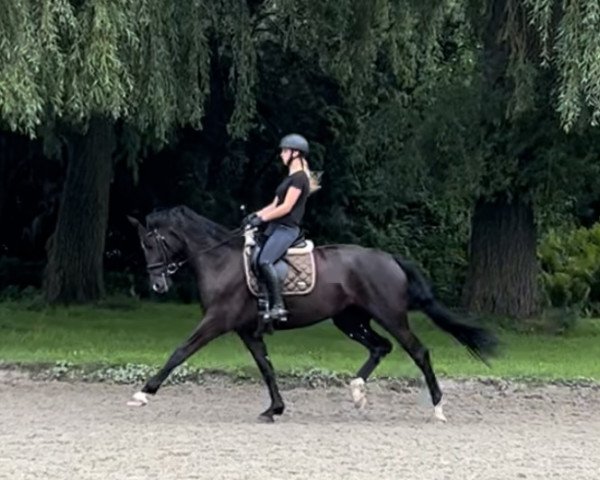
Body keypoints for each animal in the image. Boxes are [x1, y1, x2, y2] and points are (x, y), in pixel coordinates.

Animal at [126, 204, 496, 422]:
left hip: (390, 316)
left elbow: (180, 351)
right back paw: (357, 392)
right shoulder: (247, 329)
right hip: (350, 319)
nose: (157, 284)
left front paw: (143, 393)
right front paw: (274, 409)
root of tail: (389, 258)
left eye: (150, 243)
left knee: (418, 351)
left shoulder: (216, 321)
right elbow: (266, 368)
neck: (221, 261)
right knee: (381, 347)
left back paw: (438, 408)